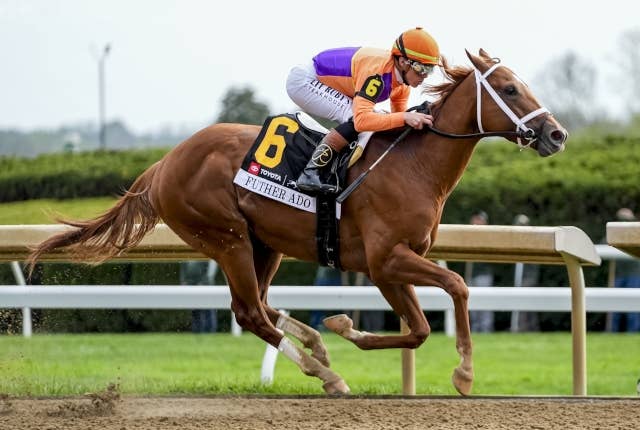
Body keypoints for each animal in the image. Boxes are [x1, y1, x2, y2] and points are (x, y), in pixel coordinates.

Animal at [27, 49, 567, 395]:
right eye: (510, 88)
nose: (557, 134)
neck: (412, 165)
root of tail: (164, 163)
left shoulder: (394, 264)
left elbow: (417, 329)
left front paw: (344, 326)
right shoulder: (385, 261)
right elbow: (455, 287)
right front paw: (464, 374)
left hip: (265, 243)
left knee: (261, 307)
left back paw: (317, 345)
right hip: (227, 238)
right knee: (249, 312)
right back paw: (326, 373)